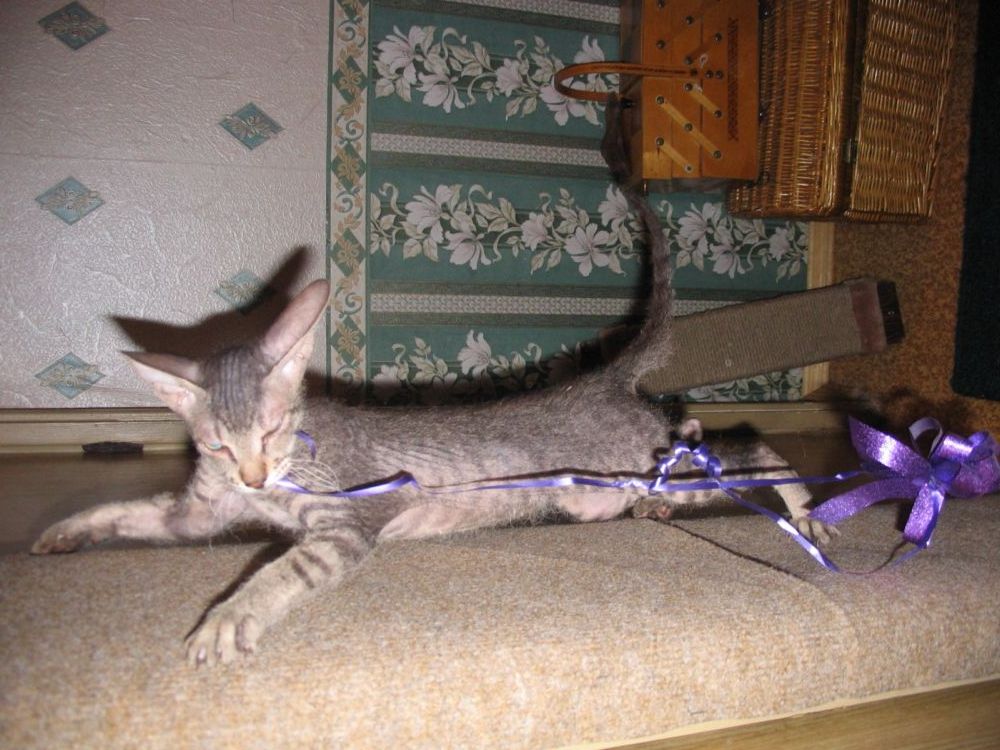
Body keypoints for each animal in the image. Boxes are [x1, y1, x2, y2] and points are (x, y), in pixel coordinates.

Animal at [32, 97, 831, 666]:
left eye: (272, 429)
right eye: (220, 447)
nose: (256, 479)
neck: (290, 463)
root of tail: (602, 379)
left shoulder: (349, 522)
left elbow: (280, 572)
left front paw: (230, 616)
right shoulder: (196, 512)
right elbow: (133, 511)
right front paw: (67, 531)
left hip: (645, 458)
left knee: (745, 448)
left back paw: (806, 509)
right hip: (610, 486)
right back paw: (656, 511)